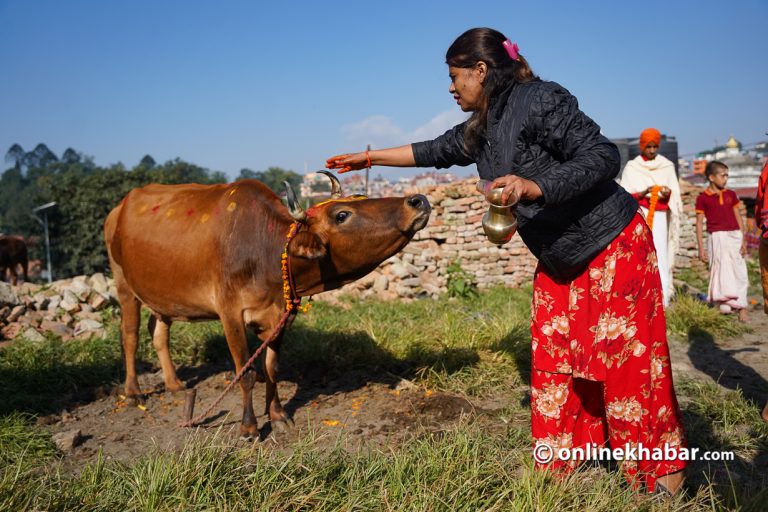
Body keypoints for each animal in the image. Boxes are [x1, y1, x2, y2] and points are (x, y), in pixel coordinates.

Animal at [106, 173, 432, 436]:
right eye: (342, 215)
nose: (418, 201)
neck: (265, 251)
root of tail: (119, 208)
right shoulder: (230, 313)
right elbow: (247, 373)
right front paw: (249, 426)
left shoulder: (282, 316)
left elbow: (271, 368)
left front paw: (277, 415)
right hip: (123, 283)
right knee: (130, 336)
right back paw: (133, 393)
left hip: (162, 295)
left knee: (159, 330)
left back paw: (174, 383)